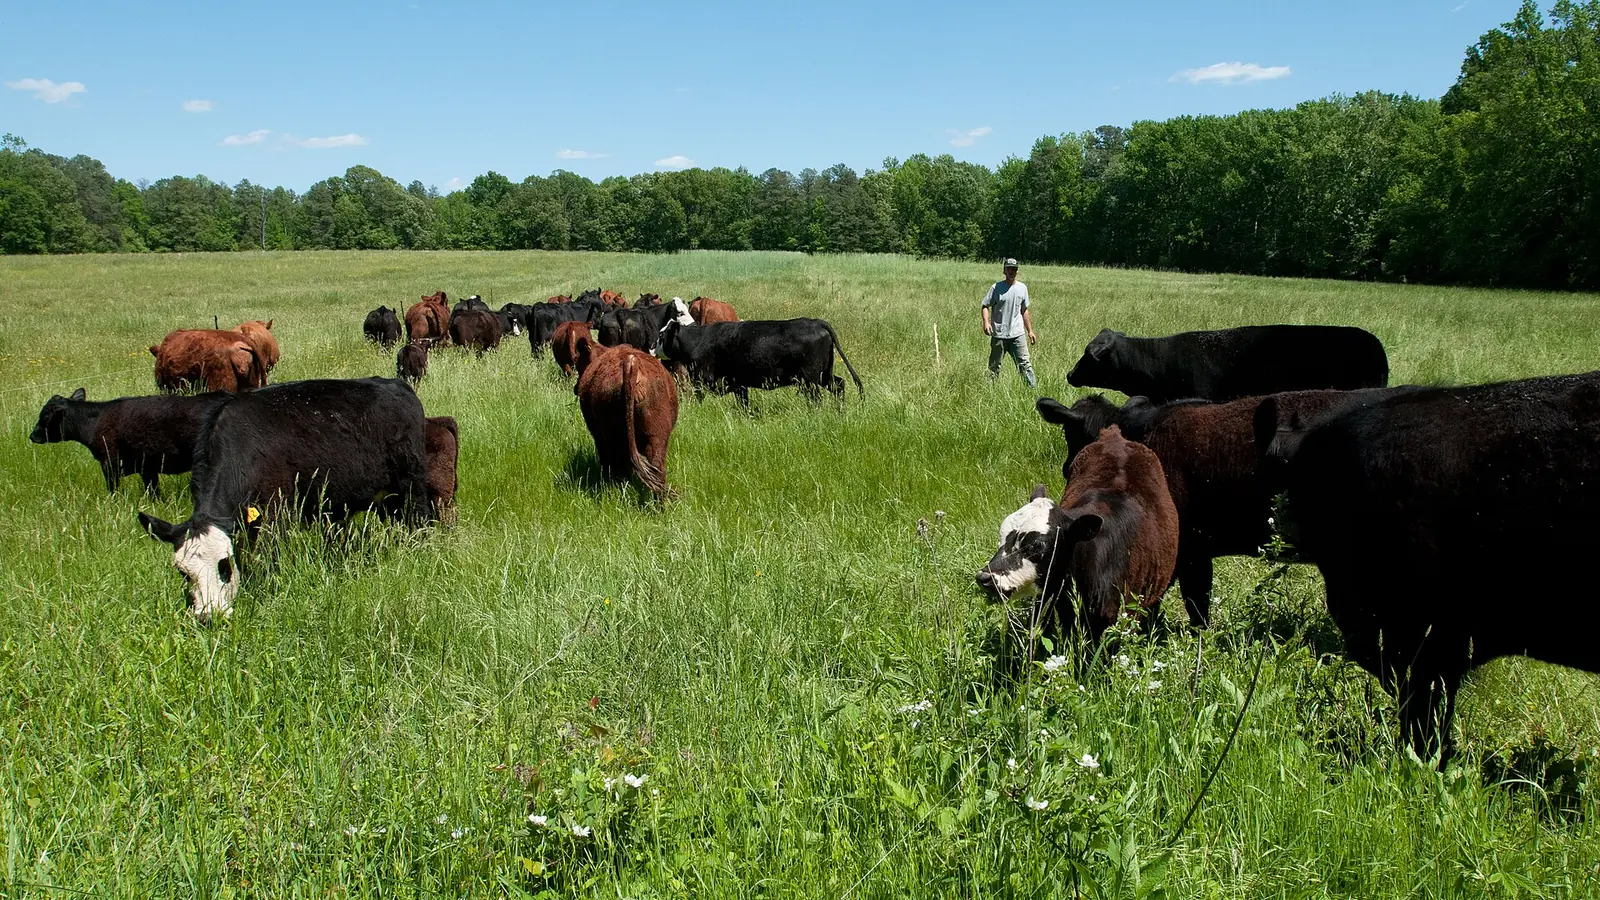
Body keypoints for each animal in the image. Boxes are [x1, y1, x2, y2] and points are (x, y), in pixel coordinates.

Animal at [30, 387, 228, 497]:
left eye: (45, 417)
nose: (32, 436)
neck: (94, 421)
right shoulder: (147, 467)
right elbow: (152, 491)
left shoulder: (109, 462)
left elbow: (113, 489)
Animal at [137, 377, 433, 621]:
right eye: (183, 572)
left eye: (224, 565)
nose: (209, 617)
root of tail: (396, 385)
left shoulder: (276, 513)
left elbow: (268, 559)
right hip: (385, 498)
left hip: (412, 483)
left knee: (420, 519)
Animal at [656, 318, 864, 406]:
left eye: (660, 336)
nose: (651, 346)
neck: (698, 340)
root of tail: (816, 321)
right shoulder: (739, 384)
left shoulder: (703, 380)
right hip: (823, 374)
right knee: (839, 385)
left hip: (810, 378)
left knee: (816, 398)